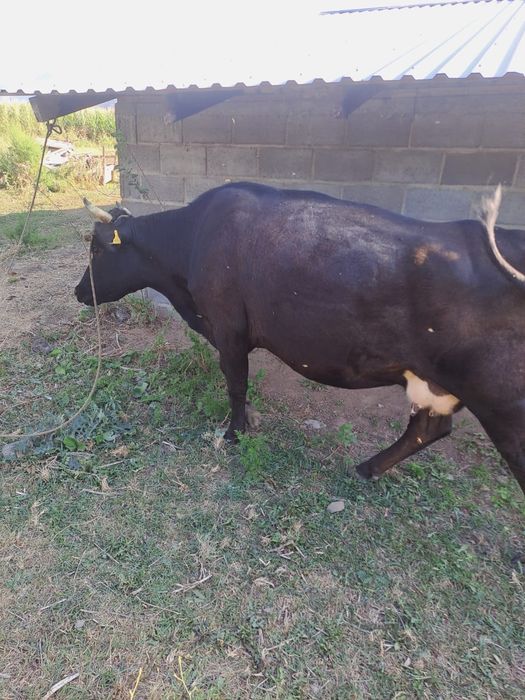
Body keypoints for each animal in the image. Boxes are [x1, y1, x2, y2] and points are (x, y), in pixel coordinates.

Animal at [75, 182, 525, 496]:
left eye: (97, 250)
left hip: (503, 404)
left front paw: (234, 433)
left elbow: (236, 384)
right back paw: (366, 469)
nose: (79, 292)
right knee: (428, 428)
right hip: (435, 382)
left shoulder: (229, 329)